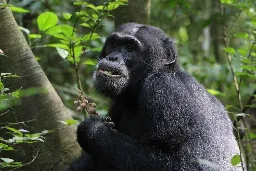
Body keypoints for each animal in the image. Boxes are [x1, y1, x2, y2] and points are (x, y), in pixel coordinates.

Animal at [68, 23, 242, 171]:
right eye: (114, 43)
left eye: (130, 48)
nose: (113, 57)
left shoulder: (167, 92)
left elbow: (188, 164)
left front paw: (93, 129)